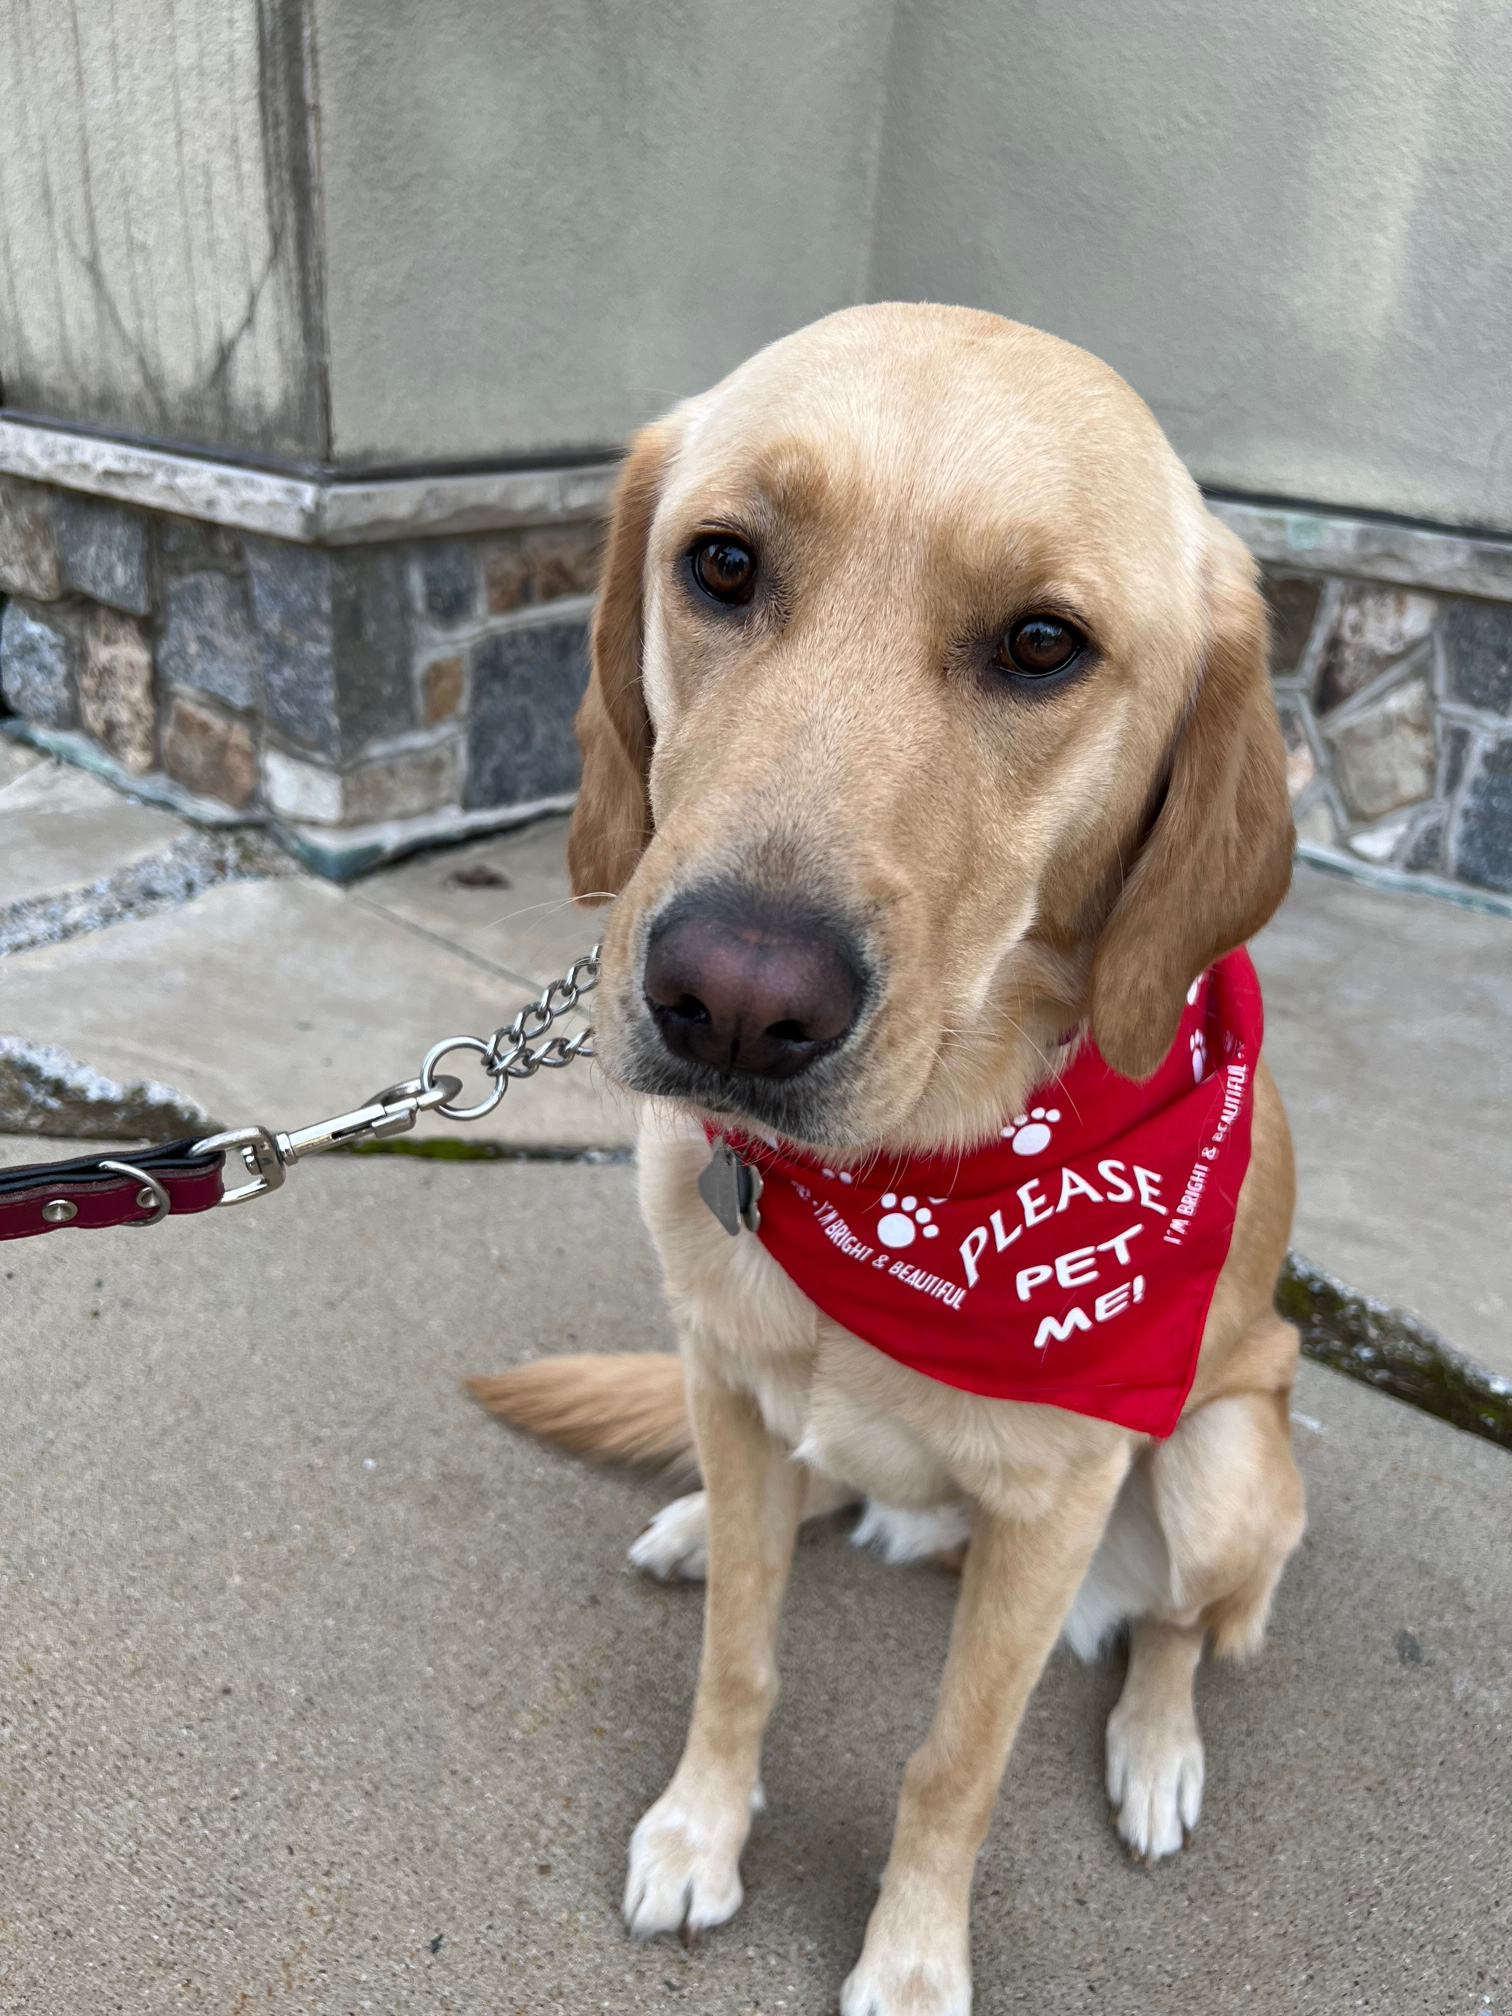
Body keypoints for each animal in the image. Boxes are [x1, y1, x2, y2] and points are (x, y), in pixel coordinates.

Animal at [479, 302, 1306, 2016]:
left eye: (1044, 645)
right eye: (724, 564)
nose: (732, 1002)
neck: (914, 1188)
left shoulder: (1054, 1518)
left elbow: (954, 1767)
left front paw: (914, 1961)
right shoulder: (728, 1373)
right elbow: (740, 1654)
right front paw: (700, 1829)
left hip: (1222, 1465)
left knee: (1183, 1625)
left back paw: (1158, 1747)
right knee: (790, 1500)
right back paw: (702, 1523)